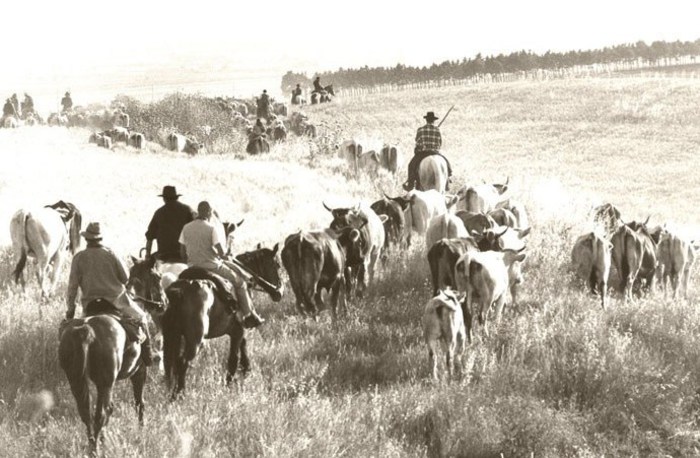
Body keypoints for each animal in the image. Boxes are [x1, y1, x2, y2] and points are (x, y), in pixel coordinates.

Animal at [57, 260, 167, 452]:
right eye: (158, 276)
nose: (164, 303)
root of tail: (86, 330)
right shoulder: (139, 372)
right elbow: (139, 403)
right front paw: (142, 430)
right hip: (106, 383)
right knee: (102, 413)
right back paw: (97, 449)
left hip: (77, 380)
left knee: (87, 413)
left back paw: (94, 444)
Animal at [163, 243, 284, 398]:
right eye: (277, 264)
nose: (279, 293)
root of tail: (180, 291)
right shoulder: (237, 330)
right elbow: (233, 357)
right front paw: (230, 383)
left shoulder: (238, 328)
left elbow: (243, 345)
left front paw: (246, 368)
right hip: (196, 341)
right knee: (182, 362)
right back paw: (179, 393)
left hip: (173, 337)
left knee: (172, 365)